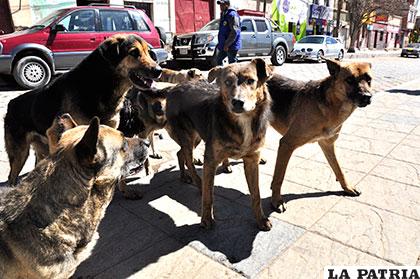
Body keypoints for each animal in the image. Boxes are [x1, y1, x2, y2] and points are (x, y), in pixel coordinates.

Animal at [4, 33, 162, 186]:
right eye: (134, 52)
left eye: (149, 53)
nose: (158, 71)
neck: (100, 85)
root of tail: (11, 103)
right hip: (19, 153)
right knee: (12, 176)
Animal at [166, 59, 274, 232]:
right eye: (227, 82)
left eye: (251, 81)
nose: (237, 102)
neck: (243, 122)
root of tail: (173, 88)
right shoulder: (210, 160)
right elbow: (208, 196)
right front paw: (206, 219)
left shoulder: (252, 160)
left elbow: (256, 195)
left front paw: (261, 220)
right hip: (189, 137)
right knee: (189, 160)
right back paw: (198, 182)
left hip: (197, 136)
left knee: (179, 153)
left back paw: (184, 176)